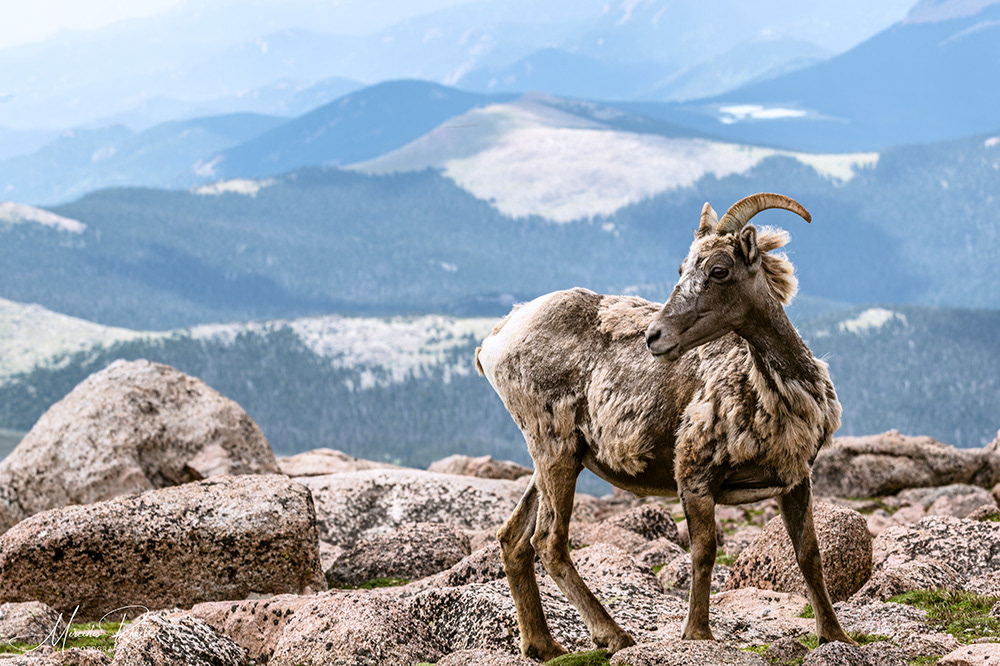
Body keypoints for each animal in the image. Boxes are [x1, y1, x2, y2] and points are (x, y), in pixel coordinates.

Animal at [475, 192, 854, 660]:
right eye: (682, 269)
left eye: (718, 269)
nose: (655, 336)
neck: (776, 389)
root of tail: (494, 341)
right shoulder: (694, 476)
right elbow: (704, 553)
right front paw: (697, 634)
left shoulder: (795, 478)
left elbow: (808, 555)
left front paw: (835, 635)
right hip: (554, 448)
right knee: (548, 541)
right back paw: (614, 637)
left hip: (557, 457)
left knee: (513, 537)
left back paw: (545, 646)